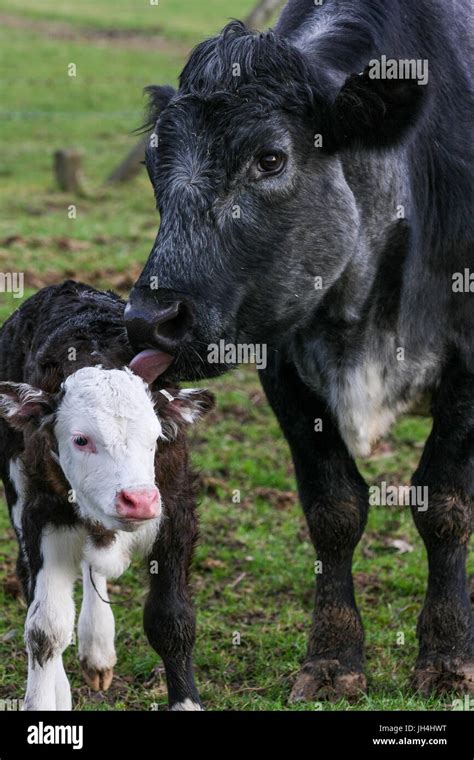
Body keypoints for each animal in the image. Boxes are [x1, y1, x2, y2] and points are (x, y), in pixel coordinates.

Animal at [0, 280, 213, 712]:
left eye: (156, 437)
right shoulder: (41, 514)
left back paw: (97, 651)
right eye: (81, 439)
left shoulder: (177, 513)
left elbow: (172, 620)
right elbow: (44, 628)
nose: (138, 500)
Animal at [126, 1, 474, 700]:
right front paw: (334, 658)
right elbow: (333, 509)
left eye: (270, 158)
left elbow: (445, 503)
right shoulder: (280, 363)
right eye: (153, 164)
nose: (149, 321)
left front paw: (447, 657)